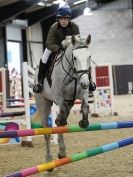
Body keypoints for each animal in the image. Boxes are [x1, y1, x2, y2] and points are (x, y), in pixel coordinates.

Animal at [34, 35, 92, 165]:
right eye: (74, 58)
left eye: (89, 57)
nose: (85, 83)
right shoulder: (58, 95)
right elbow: (61, 113)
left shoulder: (82, 93)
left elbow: (85, 106)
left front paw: (84, 122)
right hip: (43, 103)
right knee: (47, 131)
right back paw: (49, 160)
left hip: (70, 102)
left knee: (61, 120)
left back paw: (62, 152)